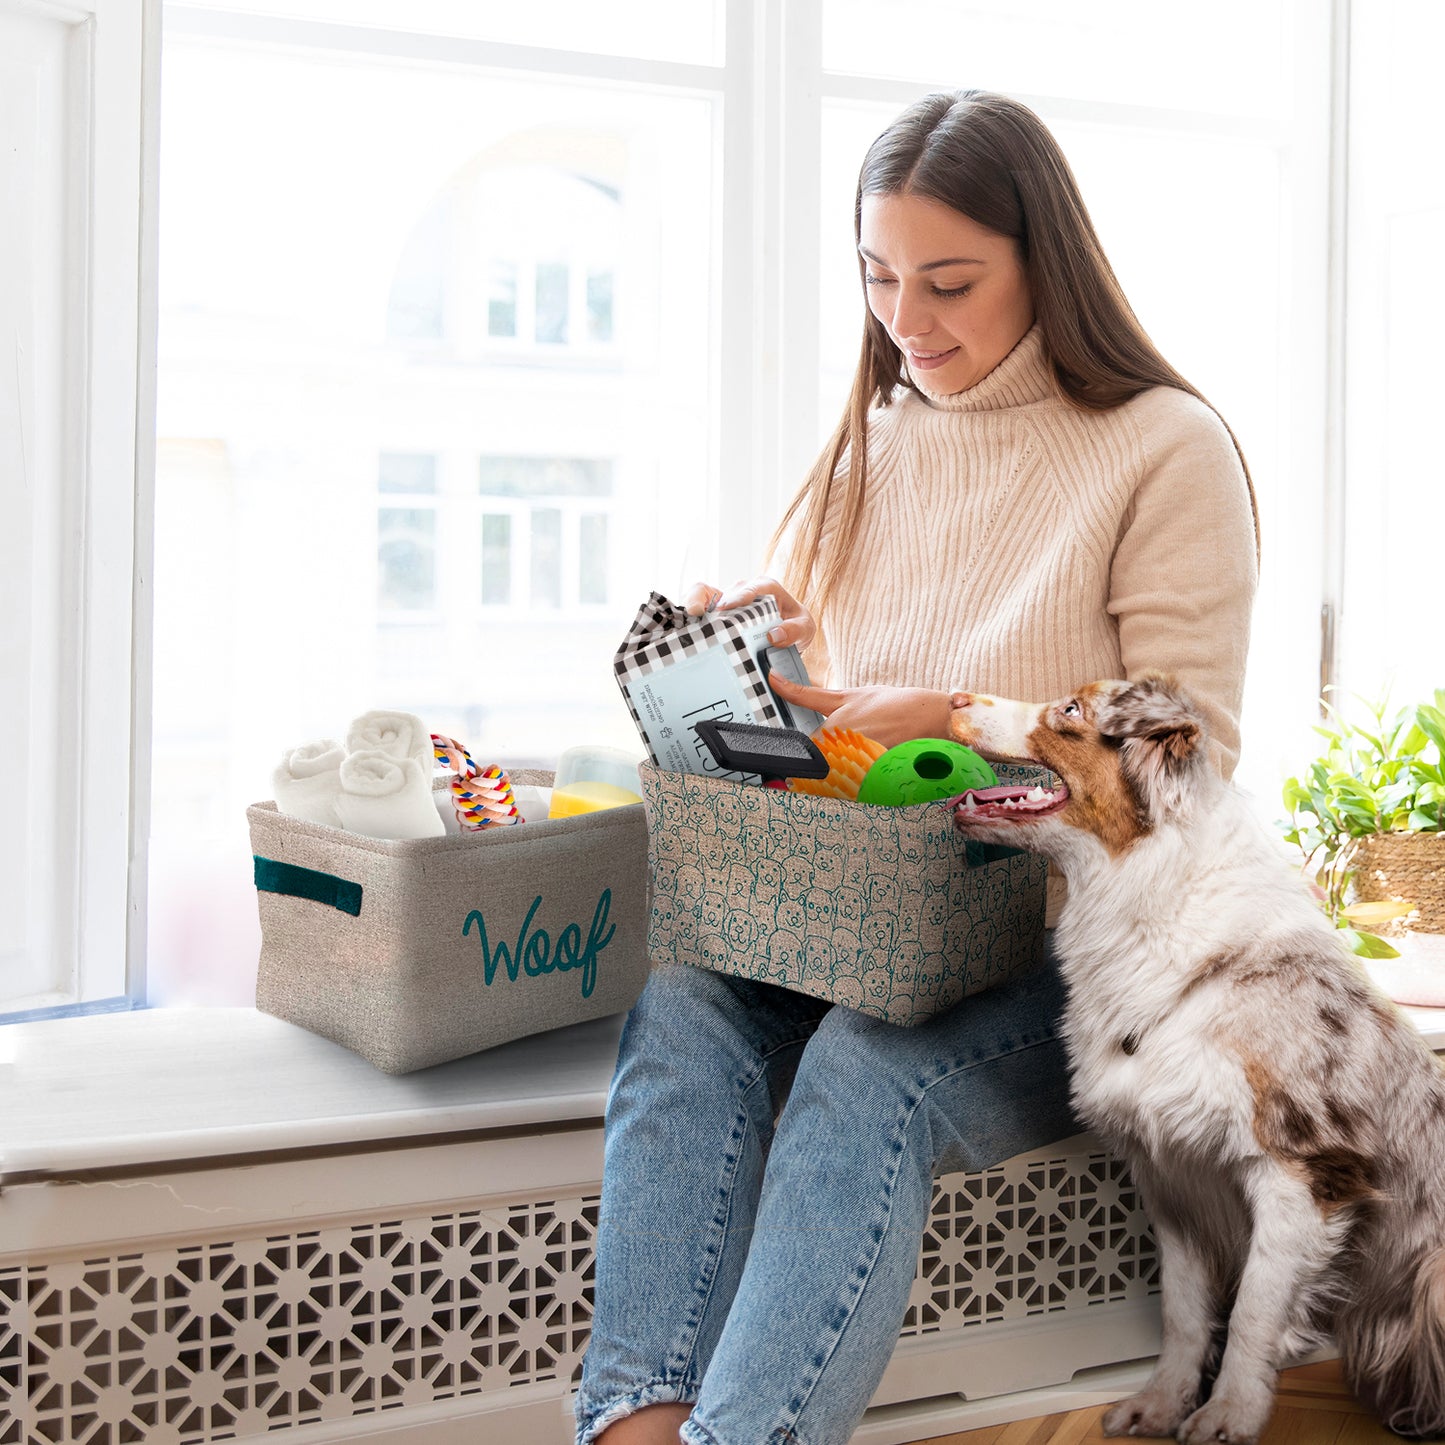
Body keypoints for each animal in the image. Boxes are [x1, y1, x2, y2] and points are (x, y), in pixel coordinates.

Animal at [947, 676, 1445, 1445]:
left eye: (1071, 709)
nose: (950, 697)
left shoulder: (1300, 1171)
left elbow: (1252, 1313)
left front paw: (1228, 1414)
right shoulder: (1170, 1173)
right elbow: (1183, 1313)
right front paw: (1161, 1403)